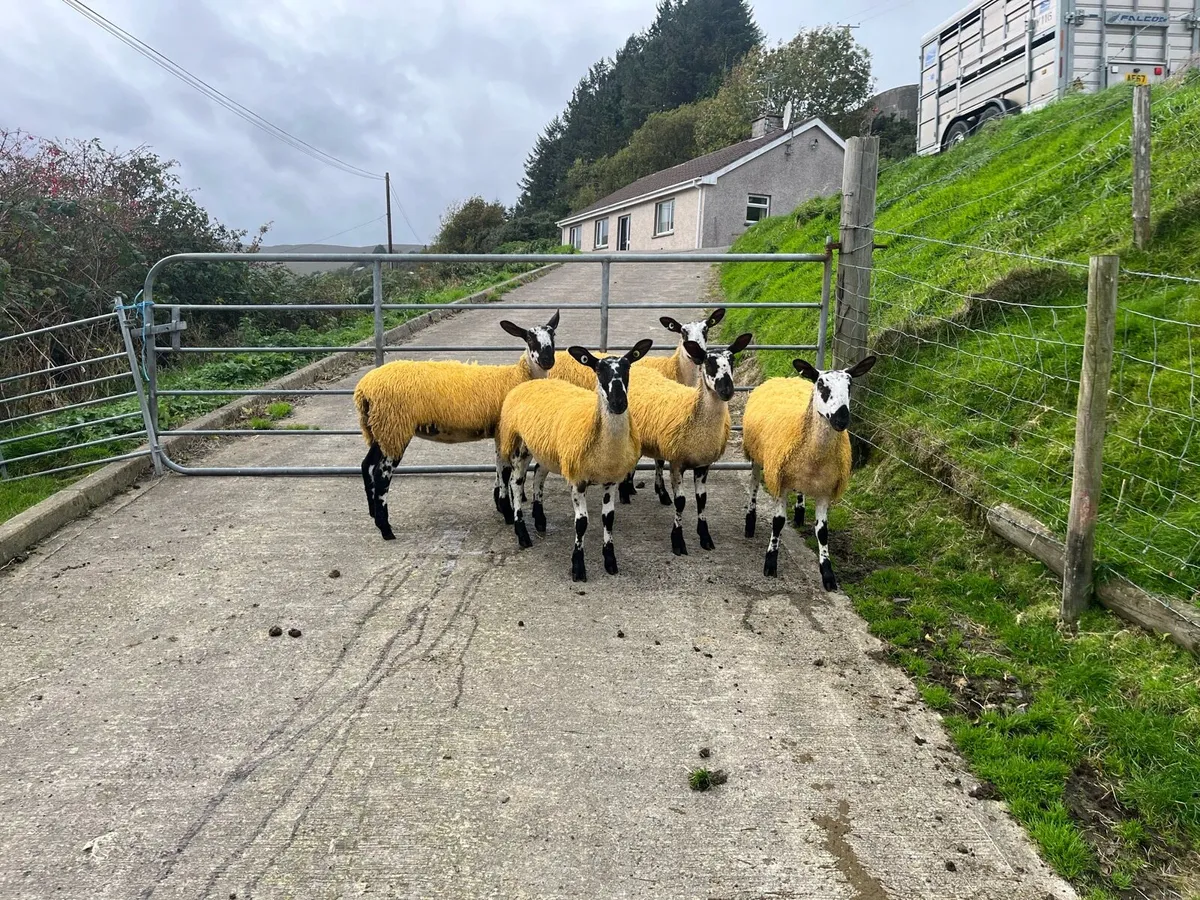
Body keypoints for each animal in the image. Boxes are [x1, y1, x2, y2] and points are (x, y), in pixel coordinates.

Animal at [354, 310, 560, 540]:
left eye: (553, 335)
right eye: (530, 338)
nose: (547, 360)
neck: (517, 377)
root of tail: (364, 388)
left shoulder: (499, 433)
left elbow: (499, 469)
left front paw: (501, 506)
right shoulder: (502, 430)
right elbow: (505, 471)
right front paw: (507, 512)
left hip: (380, 428)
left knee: (367, 465)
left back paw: (373, 514)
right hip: (394, 426)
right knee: (381, 475)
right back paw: (386, 529)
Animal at [496, 339, 654, 582]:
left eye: (628, 368)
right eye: (598, 370)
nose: (619, 403)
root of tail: (534, 382)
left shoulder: (611, 479)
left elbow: (608, 518)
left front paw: (610, 561)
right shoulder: (578, 480)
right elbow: (581, 523)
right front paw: (578, 566)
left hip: (545, 449)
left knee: (538, 476)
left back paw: (540, 519)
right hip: (519, 443)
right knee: (516, 482)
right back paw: (522, 533)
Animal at [548, 307, 727, 504]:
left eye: (706, 330)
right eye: (683, 332)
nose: (696, 354)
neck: (676, 369)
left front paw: (633, 486)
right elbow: (656, 460)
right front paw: (656, 492)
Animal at [624, 332, 753, 556]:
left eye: (731, 360)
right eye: (708, 362)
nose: (727, 390)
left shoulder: (703, 464)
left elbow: (702, 499)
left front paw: (705, 537)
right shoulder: (677, 462)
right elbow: (681, 502)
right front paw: (677, 541)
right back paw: (624, 493)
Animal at [741, 354, 877, 587]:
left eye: (850, 385)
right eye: (821, 385)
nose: (842, 419)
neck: (816, 456)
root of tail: (785, 378)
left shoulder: (826, 489)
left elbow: (822, 531)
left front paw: (828, 574)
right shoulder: (780, 482)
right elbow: (778, 523)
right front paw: (770, 563)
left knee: (800, 493)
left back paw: (799, 511)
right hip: (757, 456)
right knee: (754, 485)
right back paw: (750, 522)